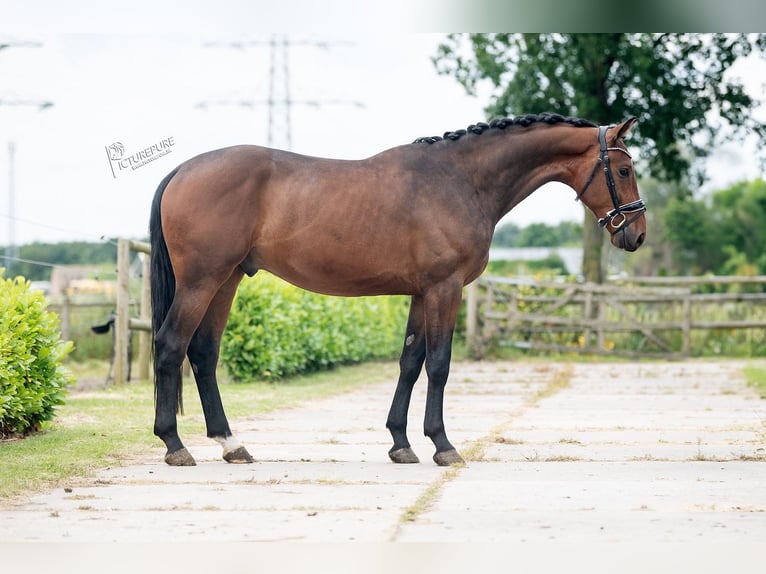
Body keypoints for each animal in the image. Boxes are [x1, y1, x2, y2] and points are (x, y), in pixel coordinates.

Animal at [148, 112, 648, 468]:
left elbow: (410, 361)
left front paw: (400, 443)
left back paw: (231, 444)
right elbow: (440, 364)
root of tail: (183, 169)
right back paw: (175, 445)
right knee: (171, 345)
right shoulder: (445, 288)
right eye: (624, 169)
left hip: (227, 279)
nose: (637, 235)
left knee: (204, 353)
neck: (461, 180)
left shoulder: (422, 293)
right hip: (202, 281)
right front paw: (443, 444)